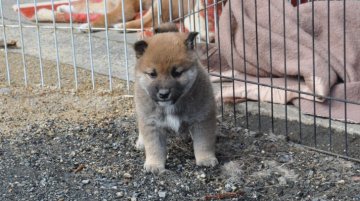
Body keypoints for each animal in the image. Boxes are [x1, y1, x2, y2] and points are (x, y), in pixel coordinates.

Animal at [132, 22, 217, 174]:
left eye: (177, 73)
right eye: (152, 74)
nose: (164, 93)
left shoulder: (202, 119)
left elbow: (203, 143)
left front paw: (206, 159)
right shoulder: (152, 124)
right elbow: (154, 147)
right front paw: (154, 164)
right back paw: (141, 142)